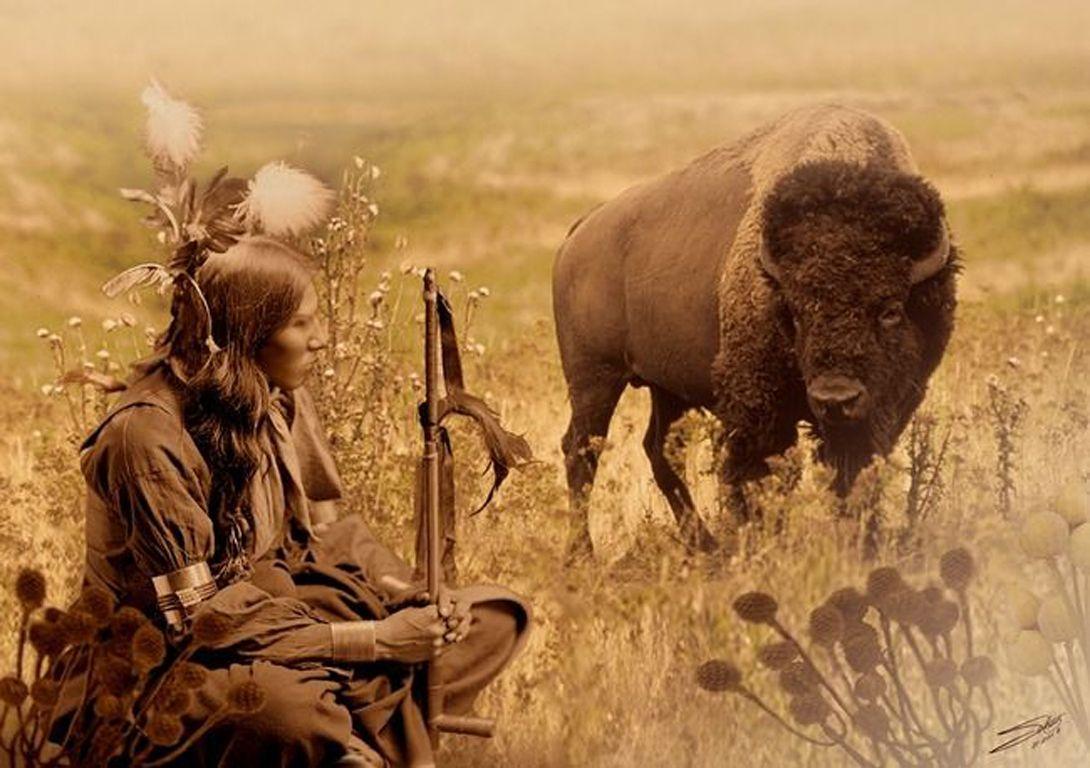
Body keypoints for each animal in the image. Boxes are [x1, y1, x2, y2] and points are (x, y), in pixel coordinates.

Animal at [553, 104, 958, 557]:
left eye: (889, 310)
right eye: (796, 311)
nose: (835, 398)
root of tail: (582, 230)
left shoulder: (883, 409)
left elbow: (853, 474)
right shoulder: (758, 408)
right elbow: (759, 476)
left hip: (667, 388)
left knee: (659, 450)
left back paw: (704, 545)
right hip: (594, 378)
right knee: (582, 450)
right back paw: (582, 553)